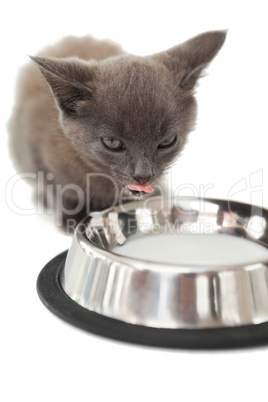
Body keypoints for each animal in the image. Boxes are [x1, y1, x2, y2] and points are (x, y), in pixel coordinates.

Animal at [8, 31, 226, 231]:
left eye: (167, 141)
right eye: (112, 142)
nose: (143, 175)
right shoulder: (37, 149)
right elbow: (57, 187)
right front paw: (73, 218)